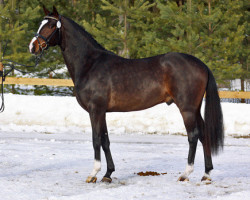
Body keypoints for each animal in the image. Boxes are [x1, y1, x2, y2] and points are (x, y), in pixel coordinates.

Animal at [29, 6, 225, 184]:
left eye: (51, 25)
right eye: (40, 23)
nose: (33, 46)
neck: (90, 64)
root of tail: (201, 64)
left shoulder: (95, 110)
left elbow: (96, 140)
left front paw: (93, 174)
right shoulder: (102, 112)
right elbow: (105, 140)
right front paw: (108, 174)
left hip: (187, 109)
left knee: (193, 136)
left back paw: (185, 174)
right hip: (195, 108)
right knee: (204, 134)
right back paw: (206, 174)